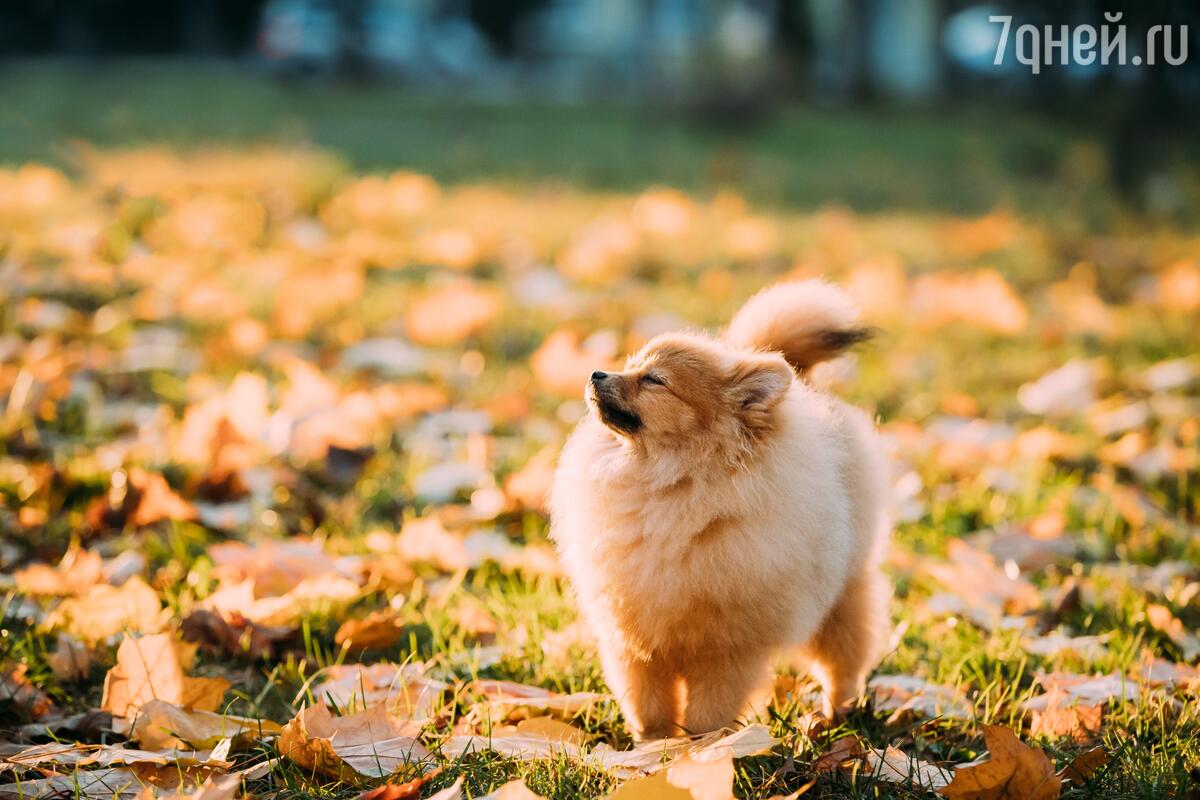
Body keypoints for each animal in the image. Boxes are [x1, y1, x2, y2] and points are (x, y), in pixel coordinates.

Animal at [547, 280, 892, 738]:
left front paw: (700, 748)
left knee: (843, 661)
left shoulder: (726, 648)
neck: (668, 487)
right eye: (630, 365)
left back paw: (833, 715)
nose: (596, 373)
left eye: (654, 380)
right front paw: (652, 747)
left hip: (840, 597)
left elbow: (707, 712)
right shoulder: (633, 638)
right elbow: (647, 706)